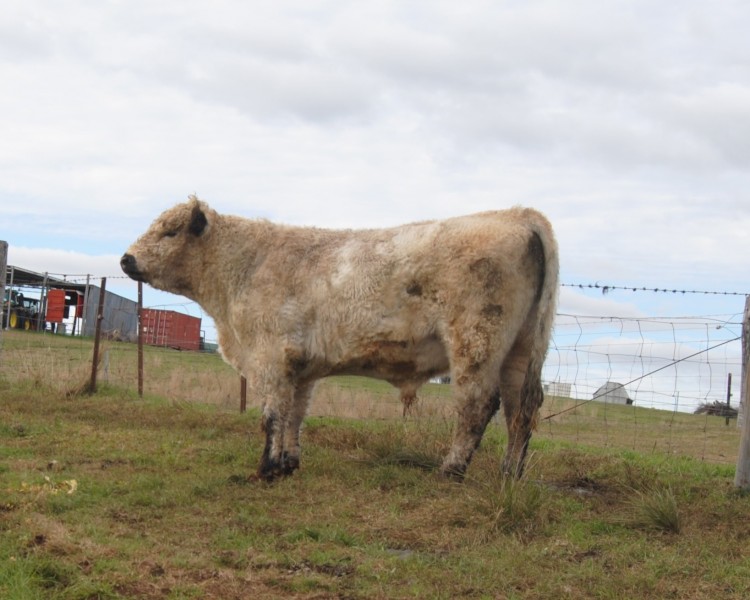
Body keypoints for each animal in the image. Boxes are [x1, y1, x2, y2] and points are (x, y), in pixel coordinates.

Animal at [121, 195, 558, 482]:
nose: (125, 259)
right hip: (521, 349)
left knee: (478, 405)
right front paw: (288, 464)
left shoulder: (271, 357)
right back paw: (509, 474)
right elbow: (295, 414)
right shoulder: (300, 366)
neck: (246, 266)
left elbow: (272, 414)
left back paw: (451, 470)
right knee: (521, 409)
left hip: (476, 343)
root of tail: (519, 214)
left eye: (170, 231)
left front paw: (266, 469)